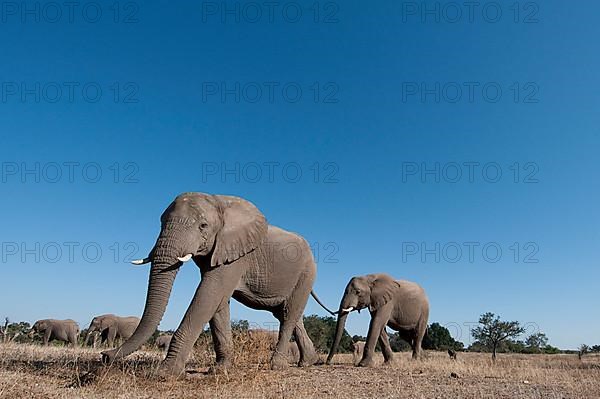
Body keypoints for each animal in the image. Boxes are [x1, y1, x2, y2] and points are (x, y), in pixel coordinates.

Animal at [101, 192, 336, 376]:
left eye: (203, 226)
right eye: (160, 223)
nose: (105, 356)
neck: (218, 201)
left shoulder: (236, 255)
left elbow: (209, 294)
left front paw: (164, 372)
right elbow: (219, 303)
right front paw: (220, 369)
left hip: (306, 273)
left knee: (288, 315)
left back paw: (277, 366)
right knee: (288, 315)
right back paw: (307, 363)